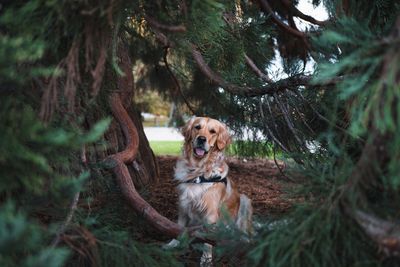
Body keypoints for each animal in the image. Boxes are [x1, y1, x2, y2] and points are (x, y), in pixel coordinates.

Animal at [167, 116, 252, 266]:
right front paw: (173, 243)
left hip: (244, 200)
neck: (198, 171)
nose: (201, 139)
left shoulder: (211, 214)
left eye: (213, 131)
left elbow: (208, 240)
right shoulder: (183, 205)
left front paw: (206, 259)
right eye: (197, 127)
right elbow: (179, 226)